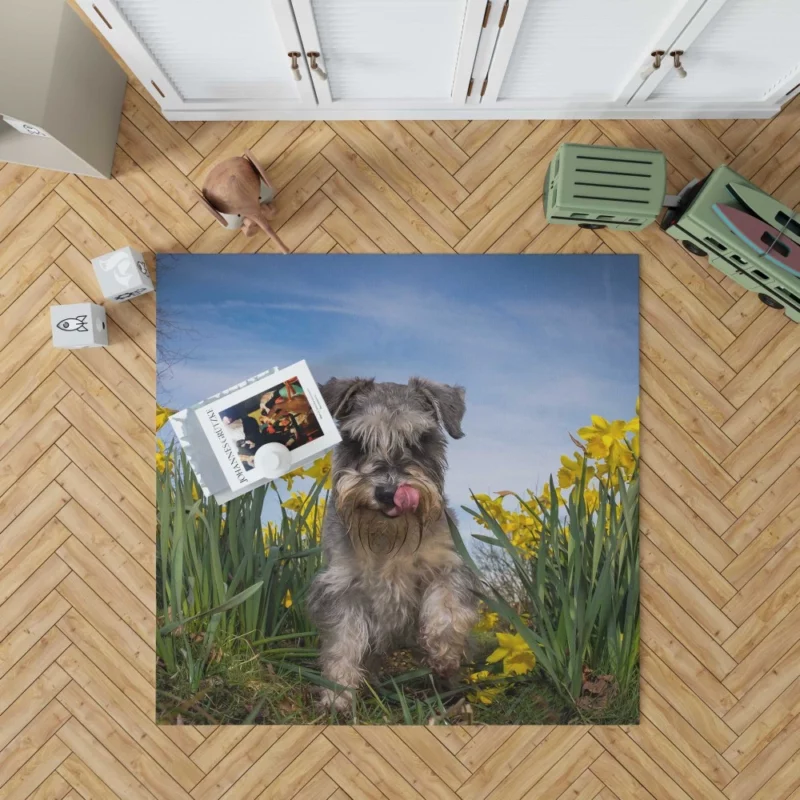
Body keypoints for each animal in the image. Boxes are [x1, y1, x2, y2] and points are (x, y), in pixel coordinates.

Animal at [310, 376, 478, 712]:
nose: (388, 493)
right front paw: (337, 696)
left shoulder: (449, 565)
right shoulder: (342, 586)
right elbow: (343, 643)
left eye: (417, 441)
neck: (389, 537)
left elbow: (447, 609)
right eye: (358, 442)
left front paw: (444, 653)